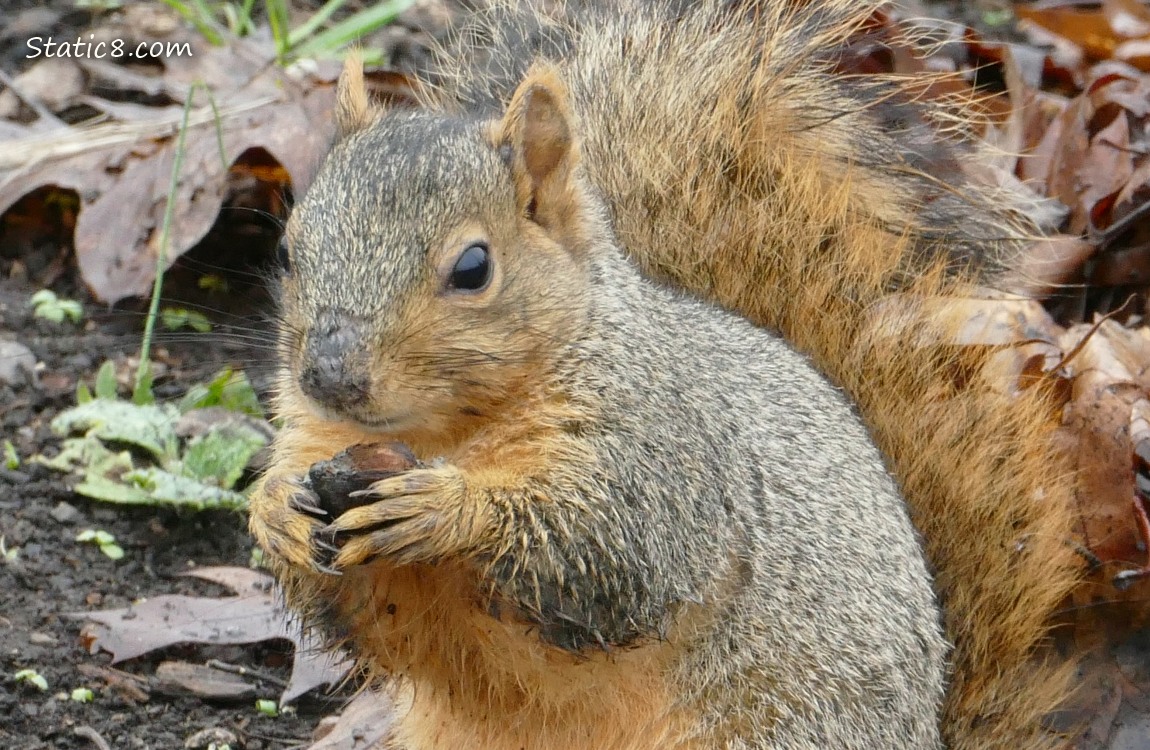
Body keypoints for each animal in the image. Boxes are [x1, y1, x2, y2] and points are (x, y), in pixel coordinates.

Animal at [247, 1, 1081, 750]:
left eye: (473, 268)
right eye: (287, 251)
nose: (329, 375)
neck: (443, 430)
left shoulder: (666, 456)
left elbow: (616, 552)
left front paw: (446, 508)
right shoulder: (316, 443)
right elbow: (363, 612)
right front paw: (273, 511)